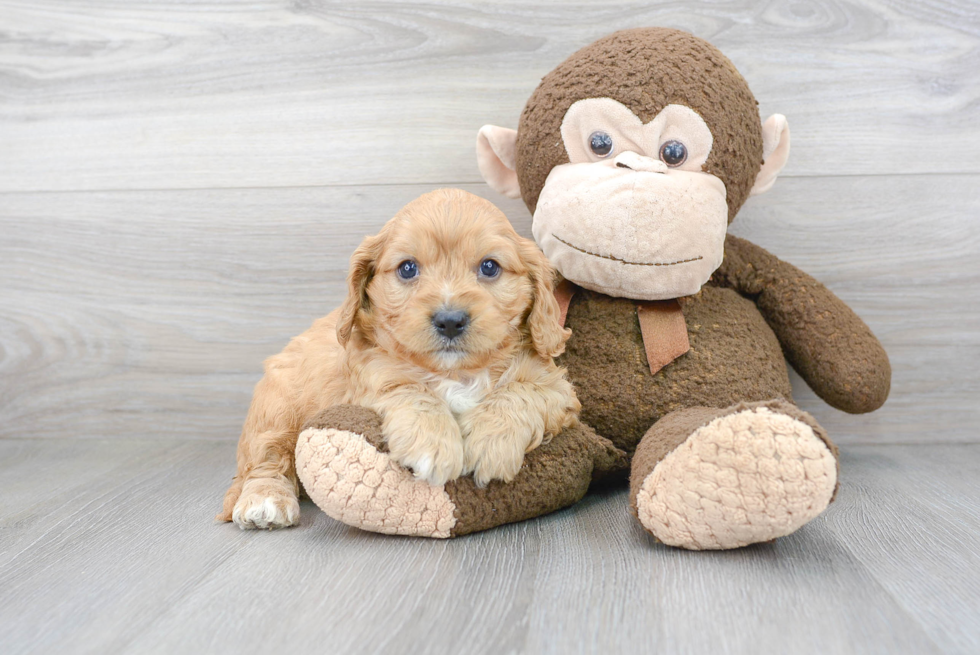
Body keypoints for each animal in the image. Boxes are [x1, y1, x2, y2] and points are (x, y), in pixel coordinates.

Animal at [218, 187, 580, 532]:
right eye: (408, 268)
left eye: (489, 266)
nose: (450, 320)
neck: (455, 372)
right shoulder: (368, 380)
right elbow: (409, 390)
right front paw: (431, 444)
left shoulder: (557, 389)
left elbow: (520, 392)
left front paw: (491, 441)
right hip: (277, 409)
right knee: (265, 460)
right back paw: (265, 501)